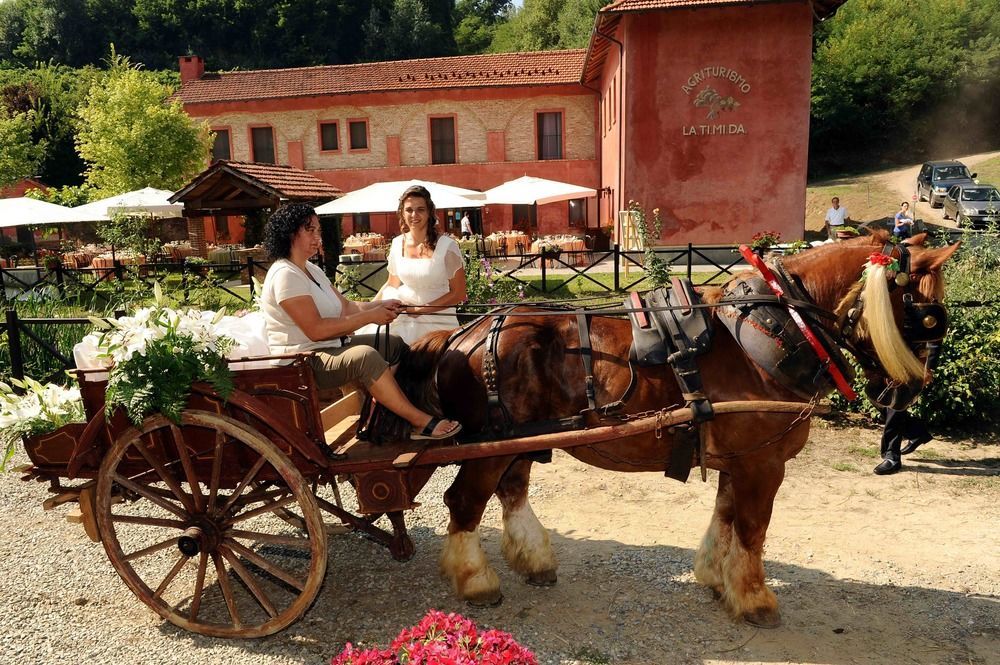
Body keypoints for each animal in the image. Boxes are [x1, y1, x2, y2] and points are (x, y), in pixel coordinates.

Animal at [378, 231, 956, 624]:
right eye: (924, 313)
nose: (913, 389)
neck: (773, 329)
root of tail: (463, 334)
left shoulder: (739, 461)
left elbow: (726, 518)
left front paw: (717, 579)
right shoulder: (763, 463)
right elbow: (752, 529)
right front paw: (755, 599)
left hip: (519, 443)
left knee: (511, 493)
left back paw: (534, 560)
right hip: (492, 447)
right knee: (465, 503)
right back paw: (475, 581)